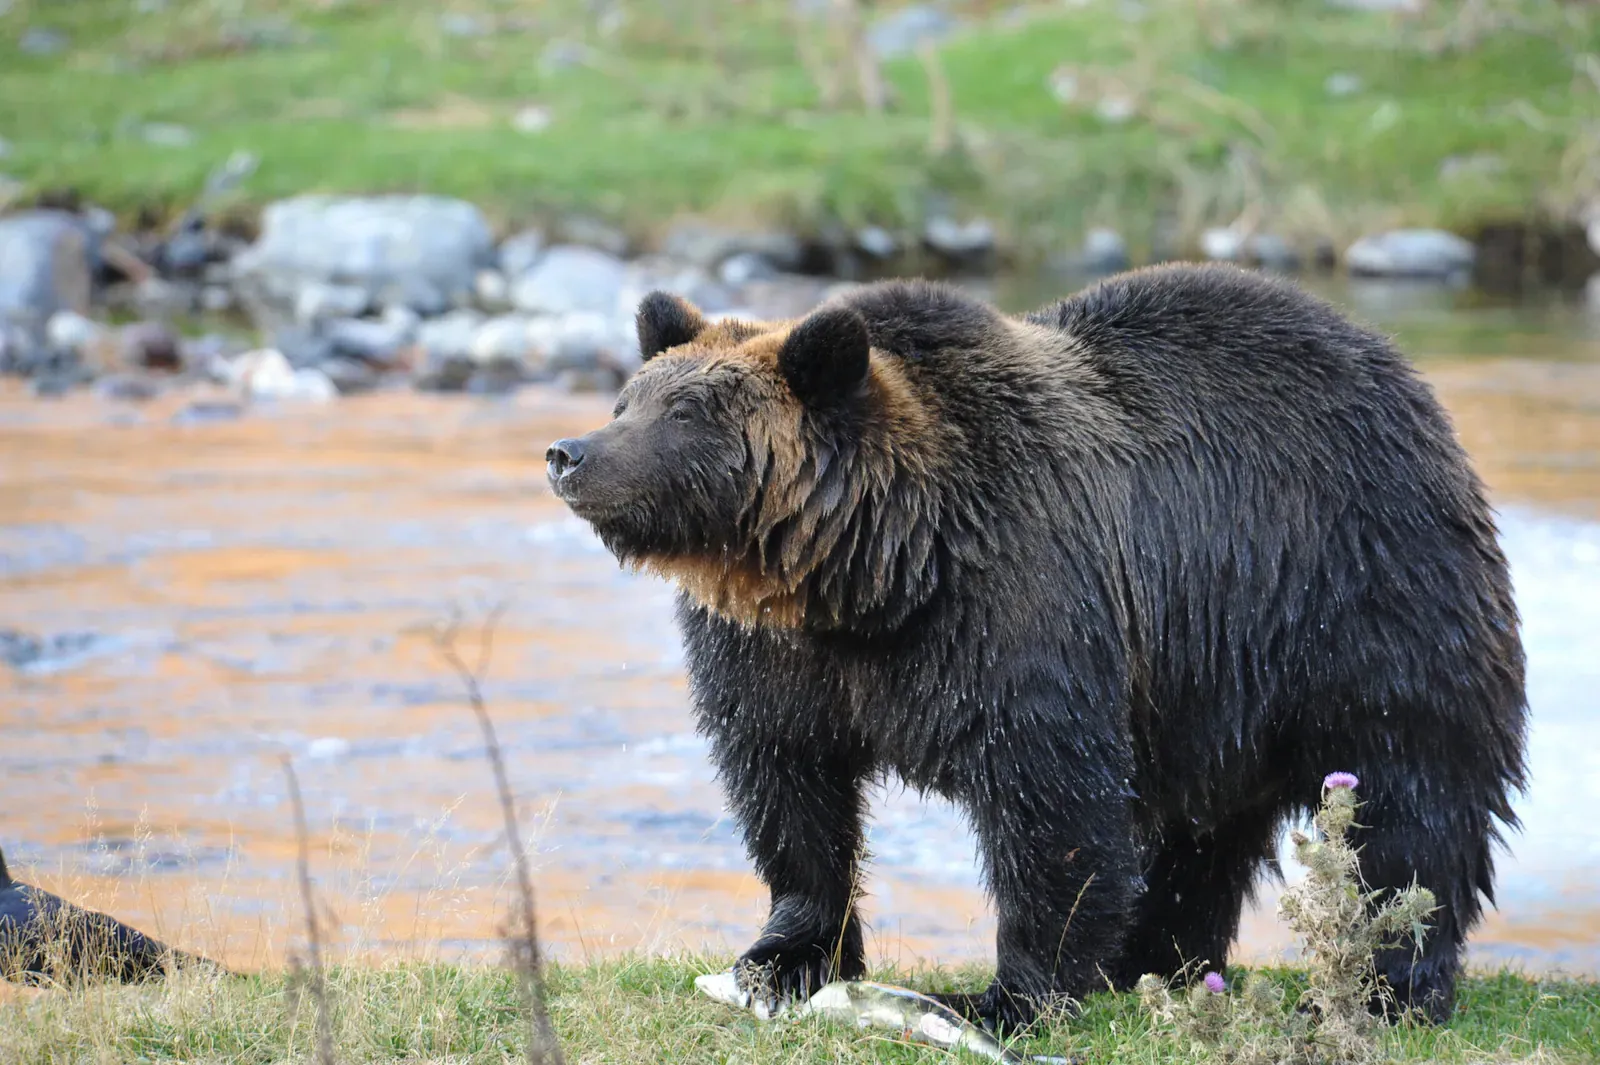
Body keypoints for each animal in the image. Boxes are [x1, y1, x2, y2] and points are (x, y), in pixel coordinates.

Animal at [545, 263, 1527, 1030]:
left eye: (685, 411)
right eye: (629, 397)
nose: (569, 451)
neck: (869, 574)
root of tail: (1398, 370)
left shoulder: (1017, 608)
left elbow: (1050, 802)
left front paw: (1008, 996)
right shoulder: (778, 657)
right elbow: (789, 788)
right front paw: (782, 959)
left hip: (1356, 598)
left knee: (1408, 795)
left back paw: (1384, 985)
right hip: (1210, 683)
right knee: (1202, 833)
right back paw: (1156, 958)